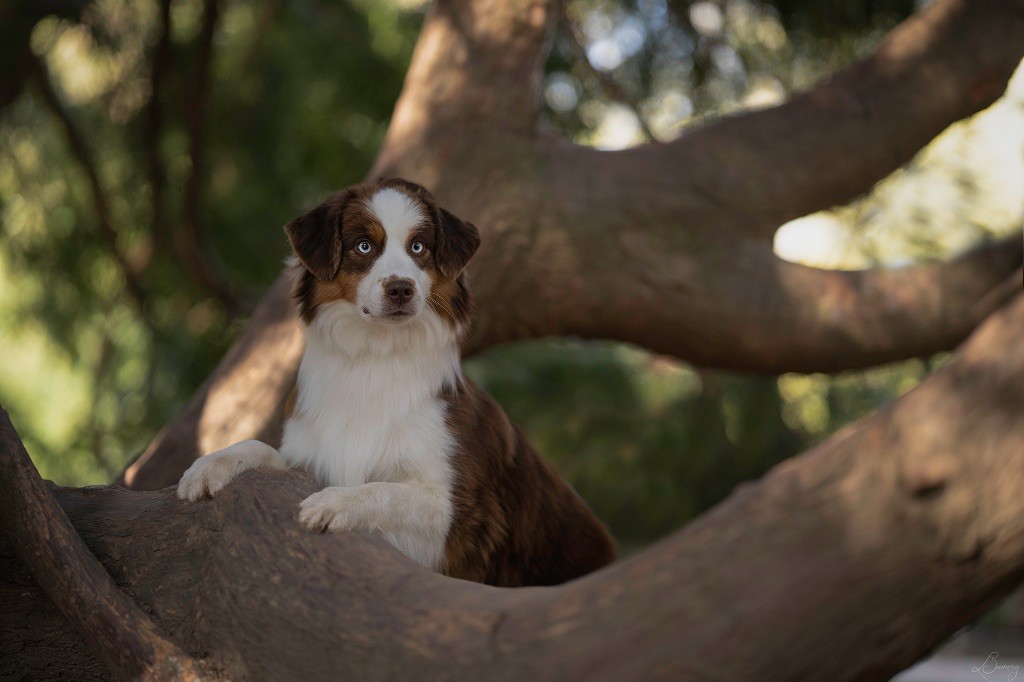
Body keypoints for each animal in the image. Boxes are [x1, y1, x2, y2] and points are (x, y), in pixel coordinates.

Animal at [174, 176, 614, 585]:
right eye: (364, 247)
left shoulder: (459, 518)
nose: (401, 288)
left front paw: (335, 503)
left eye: (418, 247)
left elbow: (387, 489)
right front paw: (208, 466)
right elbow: (264, 450)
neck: (374, 360)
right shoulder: (312, 453)